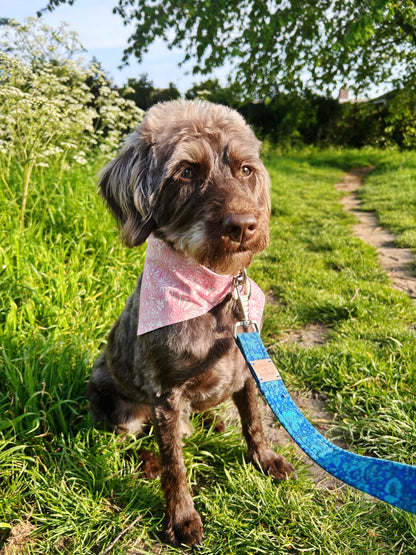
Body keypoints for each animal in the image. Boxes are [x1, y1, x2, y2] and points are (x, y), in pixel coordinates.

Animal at [88, 100, 296, 548]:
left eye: (245, 169)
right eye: (186, 172)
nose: (243, 226)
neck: (213, 294)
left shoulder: (248, 371)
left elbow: (255, 424)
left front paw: (265, 460)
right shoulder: (165, 396)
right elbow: (176, 466)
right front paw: (181, 517)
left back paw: (211, 420)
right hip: (118, 408)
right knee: (131, 440)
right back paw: (147, 460)